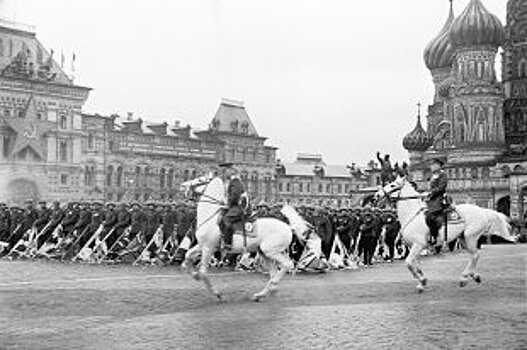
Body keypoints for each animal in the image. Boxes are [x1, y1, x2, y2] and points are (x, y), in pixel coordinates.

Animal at [180, 175, 308, 300]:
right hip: (264, 253)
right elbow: (187, 256)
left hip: (271, 251)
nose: (183, 186)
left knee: (287, 265)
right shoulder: (202, 245)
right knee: (273, 272)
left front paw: (217, 293)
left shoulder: (208, 248)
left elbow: (203, 272)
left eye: (200, 180)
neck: (211, 218)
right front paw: (194, 274)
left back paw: (273, 285)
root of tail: (288, 226)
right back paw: (261, 294)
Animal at [378, 175, 512, 292]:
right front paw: (422, 281)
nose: (377, 194)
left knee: (475, 255)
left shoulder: (418, 245)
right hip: (463, 239)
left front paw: (422, 281)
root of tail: (482, 210)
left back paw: (464, 278)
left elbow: (409, 263)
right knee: (474, 255)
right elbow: (414, 264)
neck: (412, 215)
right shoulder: (413, 247)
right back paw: (474, 276)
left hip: (471, 237)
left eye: (393, 185)